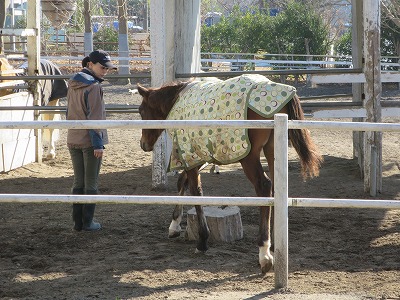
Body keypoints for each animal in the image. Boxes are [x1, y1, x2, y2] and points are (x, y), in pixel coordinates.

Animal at [136, 74, 324, 274]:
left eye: (141, 111)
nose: (143, 144)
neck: (176, 98)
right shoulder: (197, 156)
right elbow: (182, 183)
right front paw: (174, 225)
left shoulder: (189, 155)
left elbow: (195, 192)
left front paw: (202, 241)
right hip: (272, 150)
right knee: (276, 187)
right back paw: (274, 244)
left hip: (249, 158)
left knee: (264, 186)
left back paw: (264, 253)